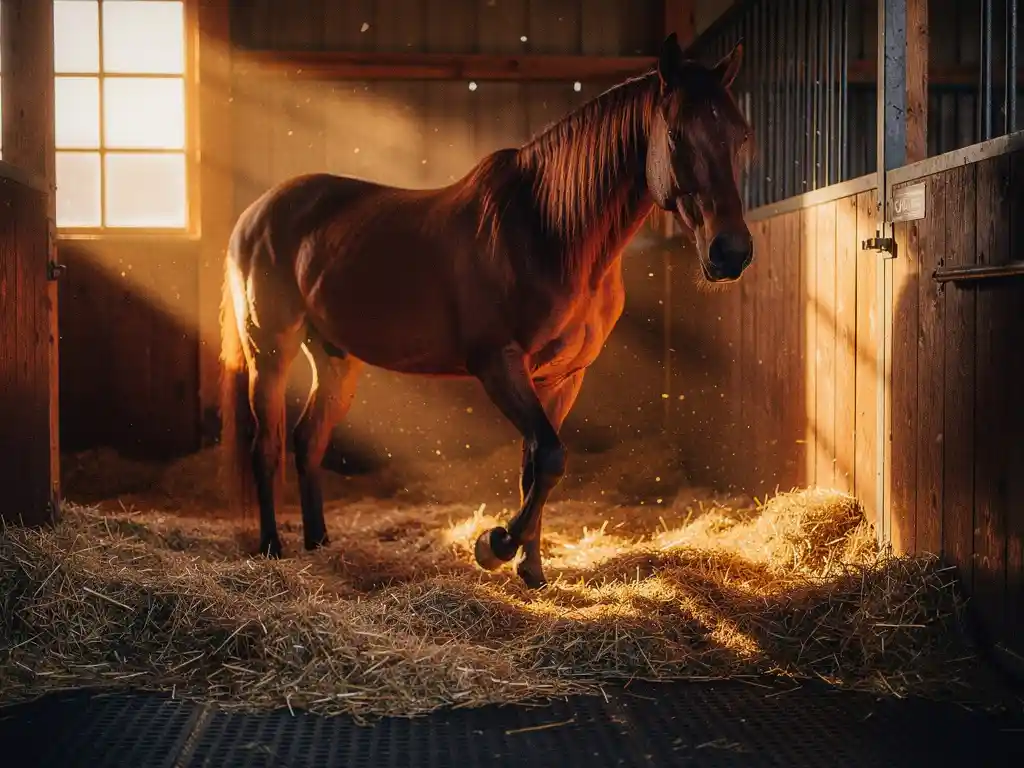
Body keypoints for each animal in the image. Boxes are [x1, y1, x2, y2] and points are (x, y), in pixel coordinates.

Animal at [219, 32, 755, 589]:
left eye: (741, 135)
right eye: (676, 136)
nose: (730, 252)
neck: (549, 230)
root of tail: (257, 213)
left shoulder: (562, 378)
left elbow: (537, 464)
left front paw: (532, 569)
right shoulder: (498, 363)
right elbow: (550, 456)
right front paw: (494, 546)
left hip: (335, 357)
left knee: (308, 440)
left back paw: (319, 543)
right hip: (270, 351)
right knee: (267, 445)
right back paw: (272, 547)